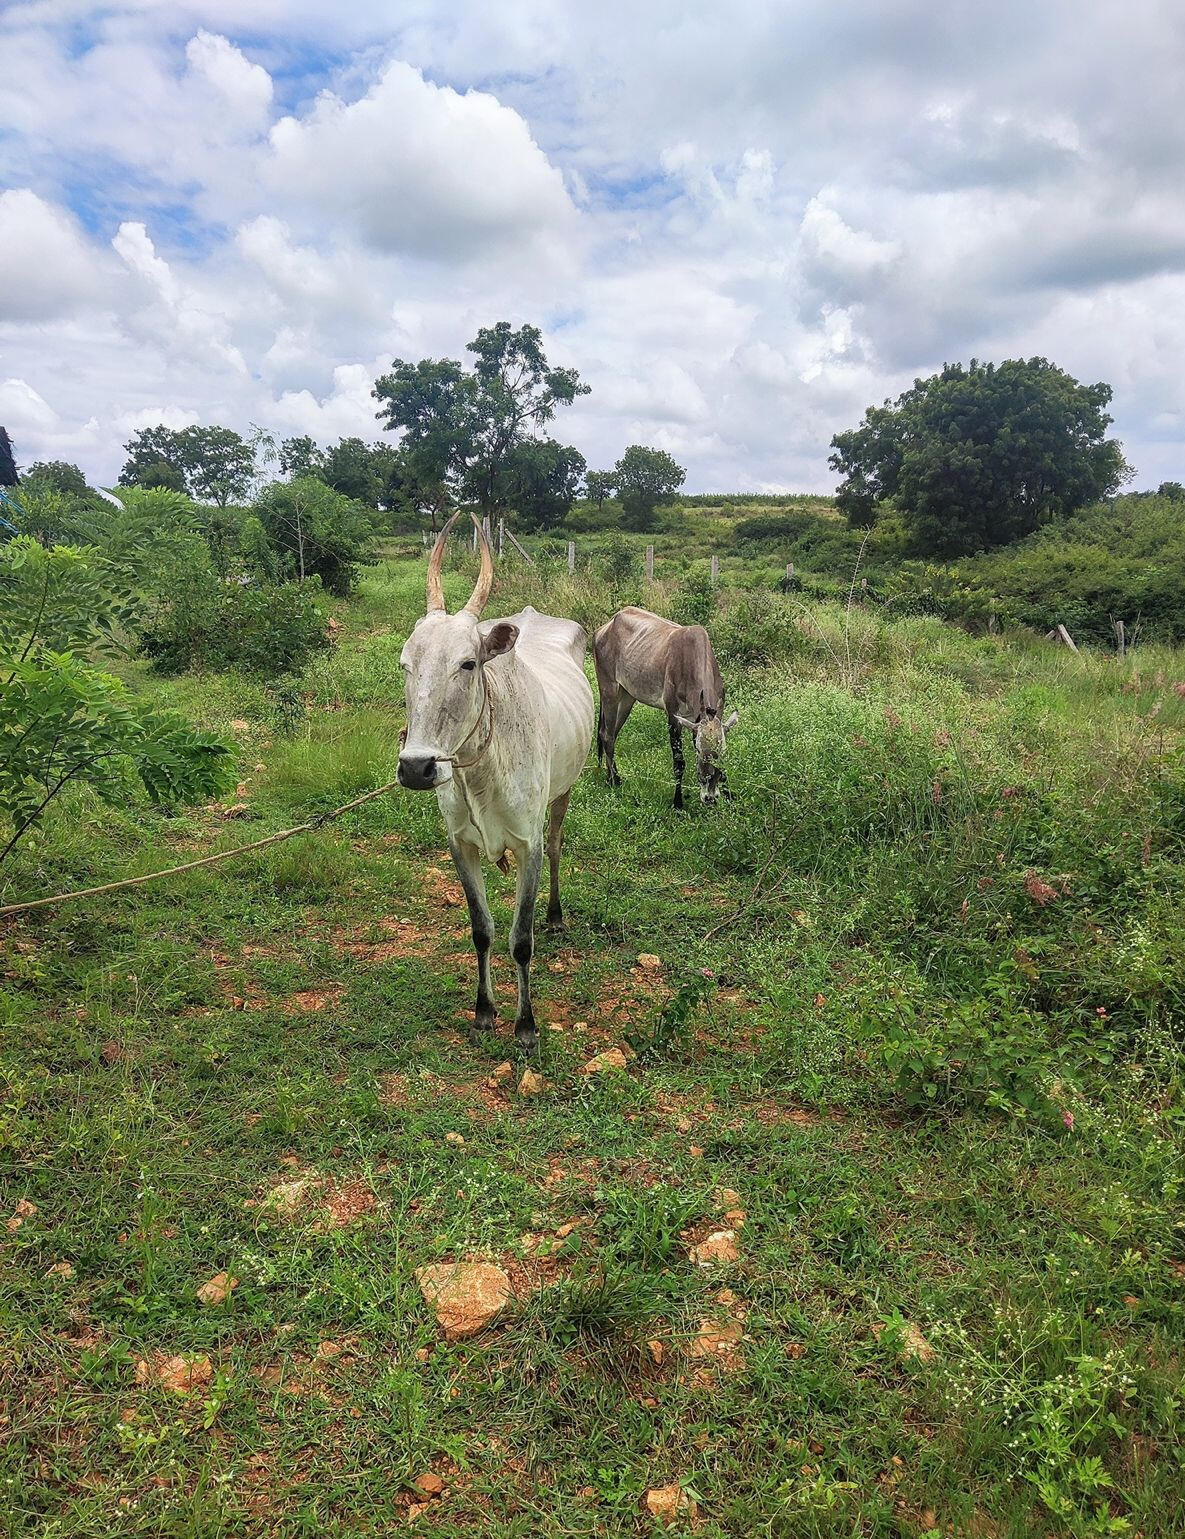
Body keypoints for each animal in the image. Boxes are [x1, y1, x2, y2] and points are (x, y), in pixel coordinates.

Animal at [397, 512, 594, 1052]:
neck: (478, 770)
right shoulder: (459, 843)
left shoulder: (527, 844)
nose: (417, 767)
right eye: (405, 666)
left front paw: (526, 1024)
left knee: (558, 844)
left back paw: (556, 915)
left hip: (563, 792)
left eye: (468, 663)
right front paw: (484, 1010)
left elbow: (521, 941)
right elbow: (482, 929)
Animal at [594, 607, 738, 808]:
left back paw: (609, 778)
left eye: (722, 751)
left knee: (611, 733)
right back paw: (616, 780)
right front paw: (677, 803)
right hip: (609, 689)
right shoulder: (673, 715)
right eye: (699, 750)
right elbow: (679, 762)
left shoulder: (696, 721)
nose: (709, 797)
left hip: (627, 695)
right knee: (606, 734)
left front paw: (727, 794)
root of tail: (604, 628)